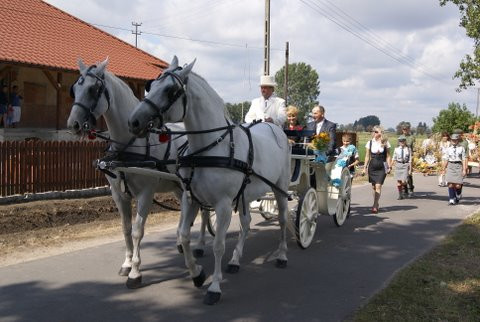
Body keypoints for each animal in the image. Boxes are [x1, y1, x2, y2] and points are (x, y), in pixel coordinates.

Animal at [66, 57, 209, 290]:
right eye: (75, 89)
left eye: (93, 89)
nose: (73, 124)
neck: (129, 145)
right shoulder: (118, 194)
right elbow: (125, 228)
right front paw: (126, 264)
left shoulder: (145, 194)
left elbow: (137, 231)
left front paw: (135, 271)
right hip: (178, 186)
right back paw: (181, 242)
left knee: (205, 212)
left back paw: (200, 245)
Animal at [127, 56, 290, 304]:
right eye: (150, 85)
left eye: (170, 90)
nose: (134, 121)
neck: (209, 148)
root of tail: (272, 126)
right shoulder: (190, 199)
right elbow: (184, 236)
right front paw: (197, 274)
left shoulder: (222, 205)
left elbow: (218, 245)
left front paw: (214, 287)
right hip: (245, 195)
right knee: (245, 224)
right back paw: (235, 261)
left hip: (280, 189)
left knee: (282, 219)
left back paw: (281, 255)